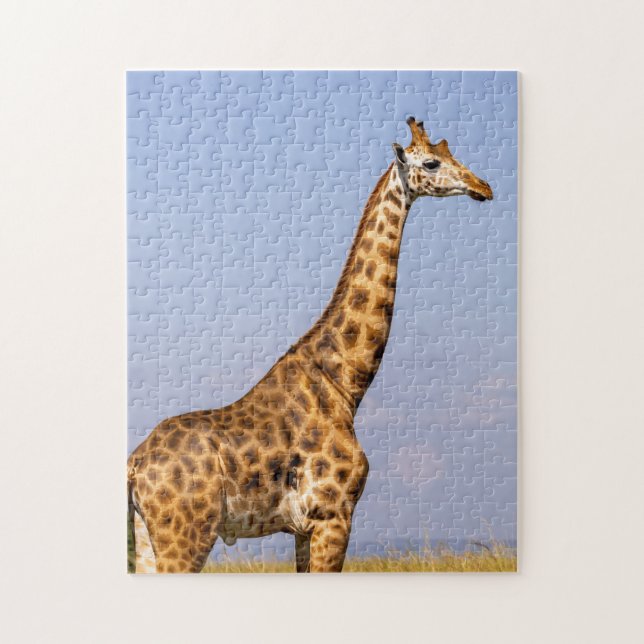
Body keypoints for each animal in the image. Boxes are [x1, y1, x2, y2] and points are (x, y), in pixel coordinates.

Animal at [127, 117, 493, 573]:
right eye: (431, 162)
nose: (483, 186)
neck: (345, 384)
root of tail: (134, 464)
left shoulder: (304, 529)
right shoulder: (333, 514)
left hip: (147, 537)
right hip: (186, 534)